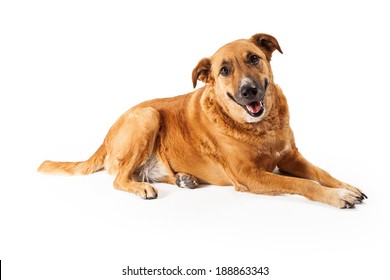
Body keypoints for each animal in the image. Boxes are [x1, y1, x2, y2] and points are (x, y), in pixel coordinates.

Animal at [38, 32, 368, 208]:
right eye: (224, 70)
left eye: (254, 58)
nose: (248, 90)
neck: (262, 128)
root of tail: (105, 138)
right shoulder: (250, 176)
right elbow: (302, 184)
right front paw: (336, 196)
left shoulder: (290, 157)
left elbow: (321, 172)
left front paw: (346, 185)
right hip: (146, 116)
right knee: (120, 178)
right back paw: (143, 188)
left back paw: (184, 179)